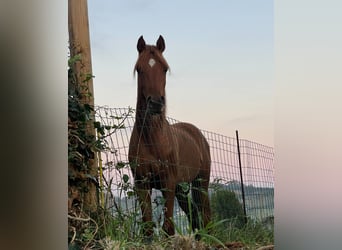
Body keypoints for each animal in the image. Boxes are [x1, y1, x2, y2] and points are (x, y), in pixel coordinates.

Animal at [127, 35, 210, 238]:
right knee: (194, 216)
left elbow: (168, 228)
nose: (156, 103)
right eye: (139, 69)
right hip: (182, 188)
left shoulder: (168, 183)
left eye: (164, 68)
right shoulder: (142, 184)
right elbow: (148, 227)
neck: (153, 140)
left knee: (205, 214)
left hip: (200, 183)